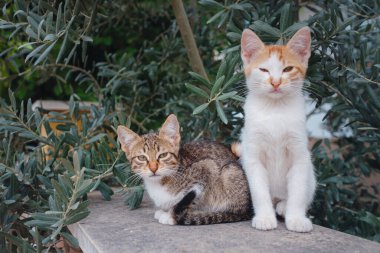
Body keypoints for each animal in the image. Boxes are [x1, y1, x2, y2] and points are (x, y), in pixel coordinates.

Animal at [116, 114, 252, 225]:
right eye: (142, 158)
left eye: (163, 155)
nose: (153, 168)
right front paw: (165, 210)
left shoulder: (207, 168)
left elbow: (192, 198)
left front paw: (170, 215)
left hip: (229, 173)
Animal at [239, 27, 316, 231]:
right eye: (263, 69)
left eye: (288, 69)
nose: (275, 82)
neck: (275, 109)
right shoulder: (253, 156)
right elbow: (259, 191)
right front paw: (265, 217)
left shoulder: (300, 156)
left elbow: (298, 191)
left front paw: (296, 218)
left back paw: (284, 206)